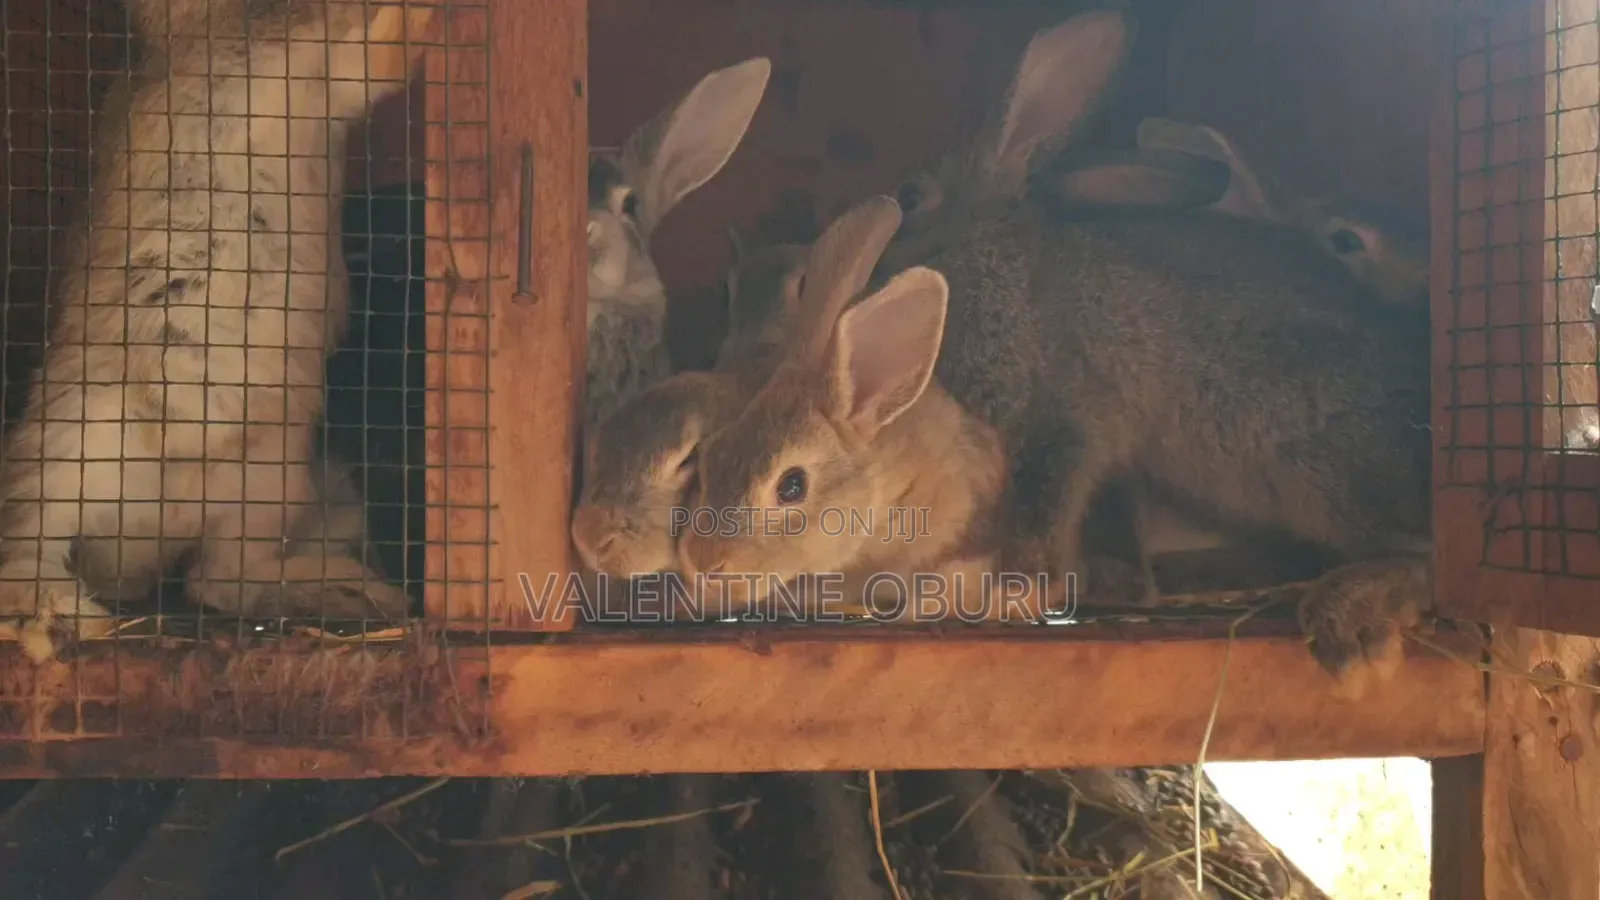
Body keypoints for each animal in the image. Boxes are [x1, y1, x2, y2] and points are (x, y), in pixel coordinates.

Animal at [0, 0, 430, 661]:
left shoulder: (328, 76)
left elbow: (373, 61)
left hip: (268, 482)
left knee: (220, 581)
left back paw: (348, 591)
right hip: (66, 446)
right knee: (25, 547)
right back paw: (58, 616)